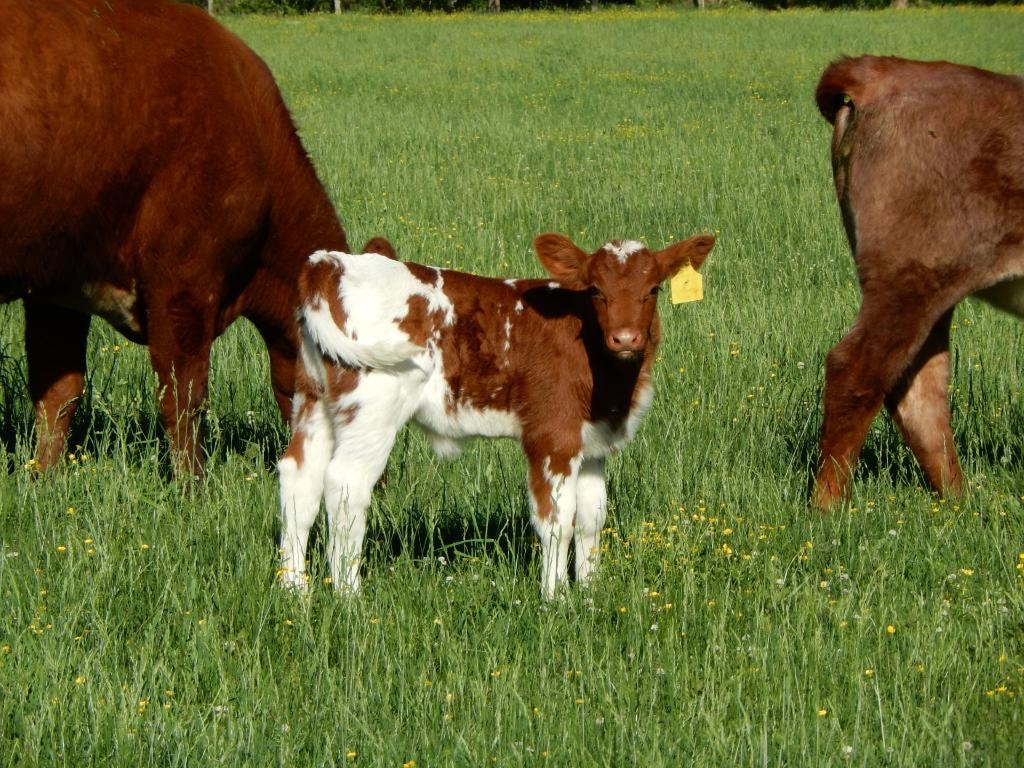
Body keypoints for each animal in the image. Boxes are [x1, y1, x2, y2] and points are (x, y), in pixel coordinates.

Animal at [0, 0, 348, 475]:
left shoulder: (59, 281)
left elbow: (58, 393)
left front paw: (44, 479)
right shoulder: (183, 280)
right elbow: (184, 398)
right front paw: (193, 485)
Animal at [277, 233, 715, 597]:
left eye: (653, 288)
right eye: (595, 290)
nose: (625, 338)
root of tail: (331, 263)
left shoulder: (592, 444)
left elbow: (591, 517)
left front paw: (590, 593)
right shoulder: (552, 435)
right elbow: (557, 521)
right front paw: (556, 598)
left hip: (313, 401)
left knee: (300, 479)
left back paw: (295, 588)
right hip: (372, 410)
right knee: (346, 485)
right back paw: (349, 596)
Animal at [811, 55, 1024, 510]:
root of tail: (884, 69)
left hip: (930, 289)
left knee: (919, 389)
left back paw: (961, 503)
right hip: (909, 278)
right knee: (855, 370)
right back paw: (826, 508)